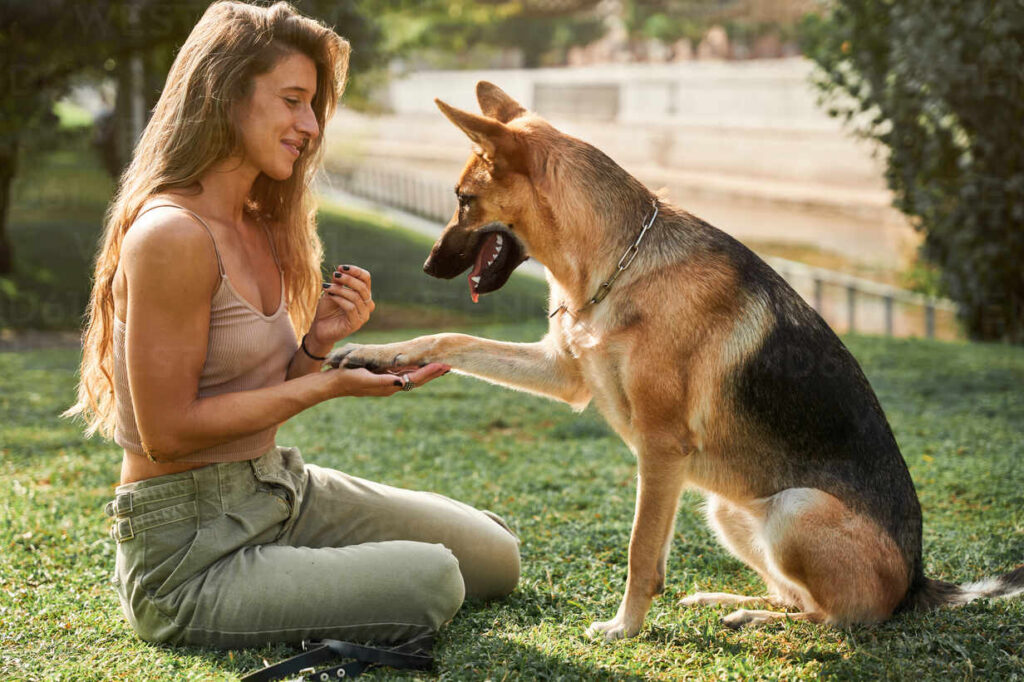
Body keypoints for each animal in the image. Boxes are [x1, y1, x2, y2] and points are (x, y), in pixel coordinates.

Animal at [329, 83, 1024, 638]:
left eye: (463, 200)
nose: (426, 265)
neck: (620, 261)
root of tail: (918, 583)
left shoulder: (660, 448)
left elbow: (641, 553)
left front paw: (624, 629)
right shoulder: (566, 376)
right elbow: (450, 339)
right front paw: (375, 352)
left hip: (792, 508)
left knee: (841, 619)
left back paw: (754, 617)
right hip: (731, 506)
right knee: (800, 599)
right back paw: (730, 603)